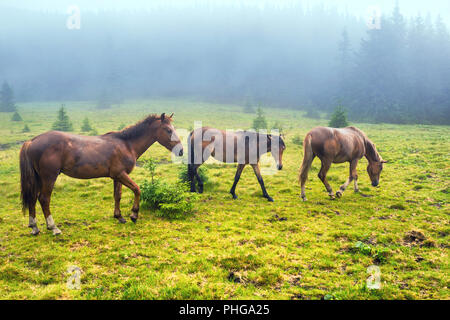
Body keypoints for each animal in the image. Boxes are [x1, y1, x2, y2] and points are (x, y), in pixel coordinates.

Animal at [20, 113, 183, 235]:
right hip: (49, 177)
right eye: (168, 130)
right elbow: (137, 189)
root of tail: (32, 141)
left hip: (38, 179)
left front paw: (119, 216)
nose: (181, 151)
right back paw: (53, 227)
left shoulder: (117, 177)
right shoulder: (121, 174)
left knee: (33, 198)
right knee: (44, 199)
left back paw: (34, 227)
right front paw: (133, 215)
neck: (126, 144)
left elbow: (117, 195)